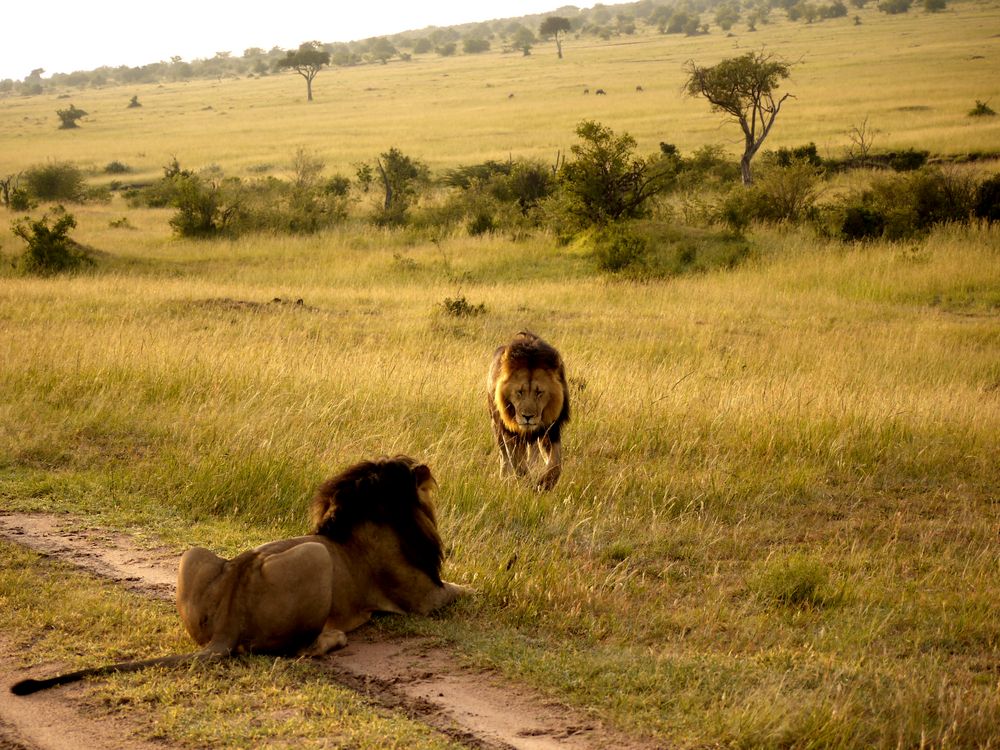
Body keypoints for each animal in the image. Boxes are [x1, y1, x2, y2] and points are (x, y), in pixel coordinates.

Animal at [10, 458, 472, 700]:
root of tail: (228, 623)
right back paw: (334, 638)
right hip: (315, 557)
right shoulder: (423, 598)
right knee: (300, 649)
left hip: (194, 555)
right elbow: (465, 592)